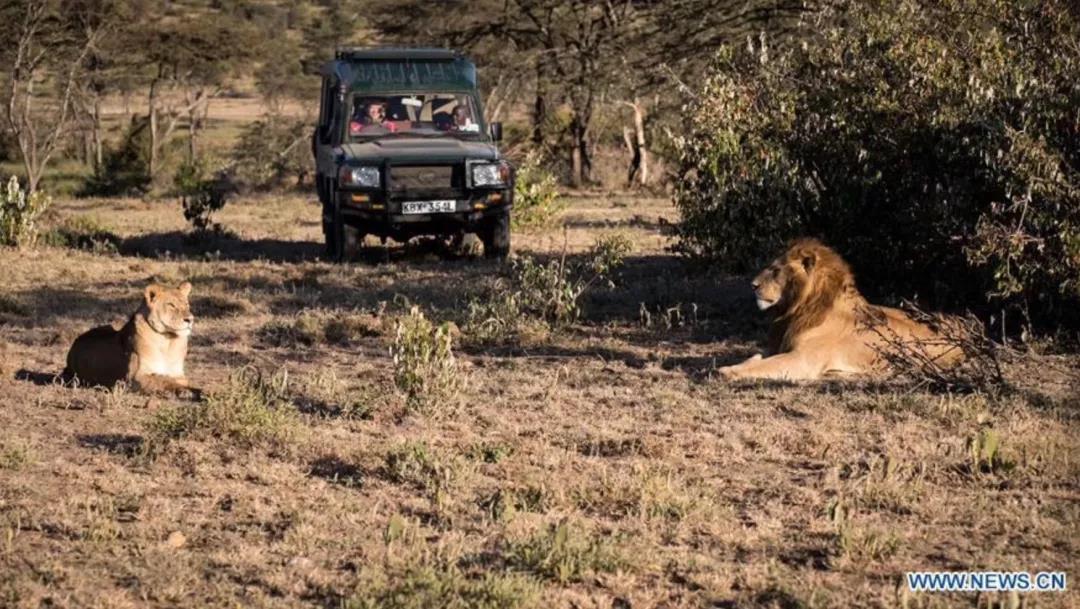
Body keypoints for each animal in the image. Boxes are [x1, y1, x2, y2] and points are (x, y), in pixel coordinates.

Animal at [65, 282, 196, 395]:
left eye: (187, 305)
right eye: (171, 305)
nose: (190, 319)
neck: (167, 340)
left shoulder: (178, 374)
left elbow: (180, 380)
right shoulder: (134, 378)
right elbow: (163, 380)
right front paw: (187, 391)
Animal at [717, 238, 963, 377]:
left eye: (776, 270)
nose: (753, 285)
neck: (797, 309)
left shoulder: (803, 360)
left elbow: (764, 366)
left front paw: (728, 372)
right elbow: (757, 356)